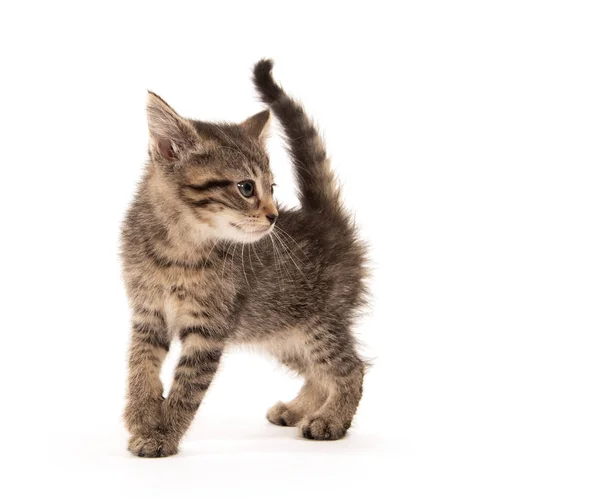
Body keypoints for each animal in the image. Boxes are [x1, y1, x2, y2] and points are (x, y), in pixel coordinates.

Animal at [120, 59, 368, 458]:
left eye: (272, 187)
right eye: (246, 187)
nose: (274, 216)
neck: (178, 249)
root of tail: (324, 219)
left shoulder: (209, 329)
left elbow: (187, 387)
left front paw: (163, 435)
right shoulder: (147, 313)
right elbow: (139, 366)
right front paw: (141, 415)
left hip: (318, 322)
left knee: (350, 368)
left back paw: (330, 419)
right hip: (280, 330)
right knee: (318, 372)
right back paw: (298, 408)